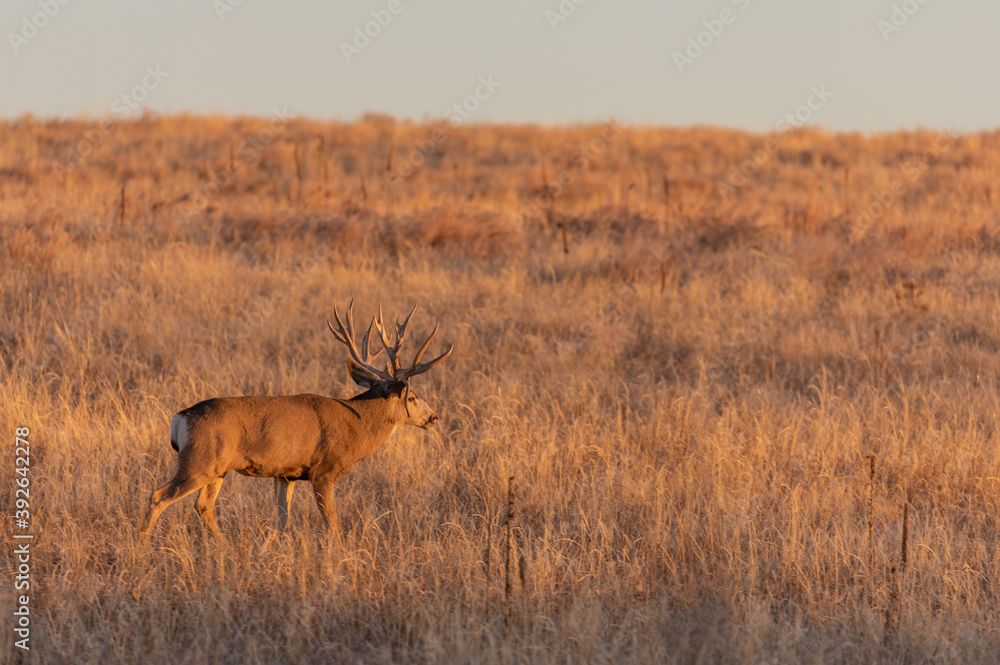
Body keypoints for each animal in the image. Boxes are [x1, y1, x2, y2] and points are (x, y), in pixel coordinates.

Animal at [140, 299, 452, 540]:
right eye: (412, 397)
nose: (434, 417)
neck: (356, 426)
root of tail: (181, 417)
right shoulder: (324, 471)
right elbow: (333, 525)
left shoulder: (285, 474)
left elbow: (281, 520)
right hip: (200, 461)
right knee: (158, 497)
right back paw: (143, 550)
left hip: (218, 468)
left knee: (203, 506)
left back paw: (225, 549)